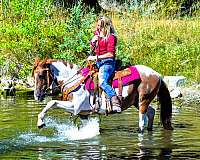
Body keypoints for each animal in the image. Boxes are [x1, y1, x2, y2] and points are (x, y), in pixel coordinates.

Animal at [32, 58, 173, 132]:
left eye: (41, 75)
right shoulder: (83, 114)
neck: (75, 81)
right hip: (136, 102)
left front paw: (40, 122)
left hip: (143, 100)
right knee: (151, 112)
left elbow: (52, 102)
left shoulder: (75, 106)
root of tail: (156, 74)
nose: (37, 95)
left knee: (142, 121)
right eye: (34, 75)